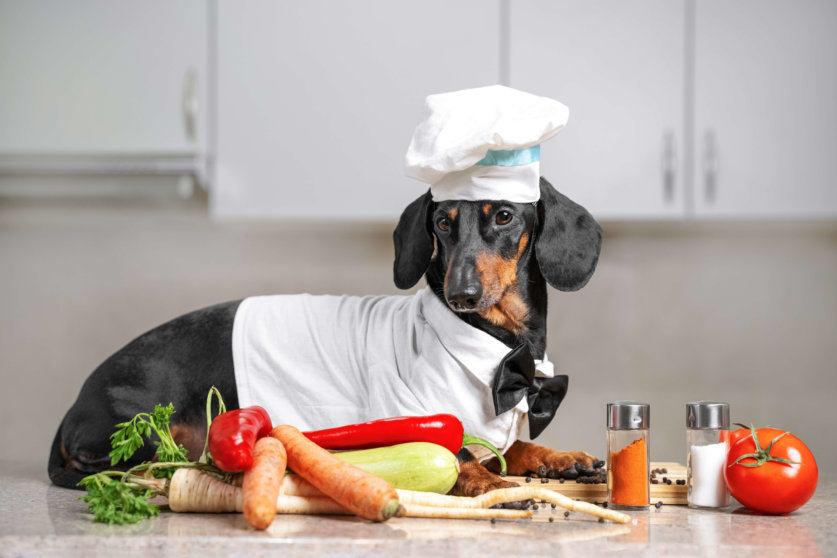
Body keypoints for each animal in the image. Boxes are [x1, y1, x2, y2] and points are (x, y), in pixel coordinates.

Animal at [49, 178, 604, 494]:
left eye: (504, 216)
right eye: (443, 223)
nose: (461, 294)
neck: (498, 347)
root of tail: (74, 405)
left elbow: (515, 446)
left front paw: (562, 459)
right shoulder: (414, 418)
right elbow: (463, 456)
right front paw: (490, 482)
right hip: (146, 430)